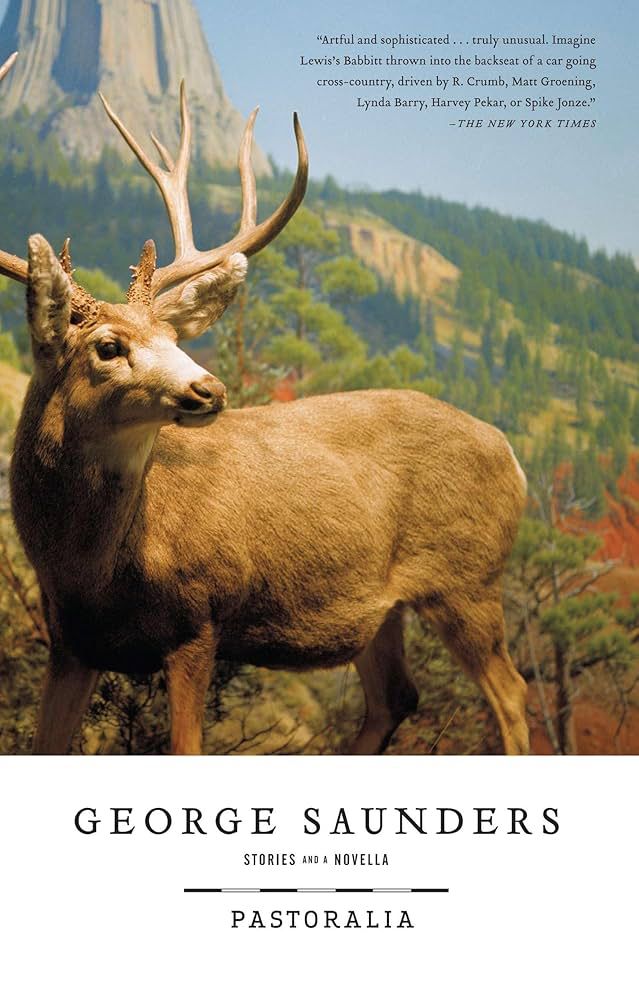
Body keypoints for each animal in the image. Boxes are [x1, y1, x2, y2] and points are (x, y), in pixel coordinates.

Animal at [2, 74, 530, 756]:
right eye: (108, 346)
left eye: (173, 337)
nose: (209, 388)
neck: (88, 569)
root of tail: (511, 455)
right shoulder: (69, 644)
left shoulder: (196, 621)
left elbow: (187, 748)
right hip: (379, 607)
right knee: (396, 697)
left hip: (467, 579)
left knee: (510, 693)